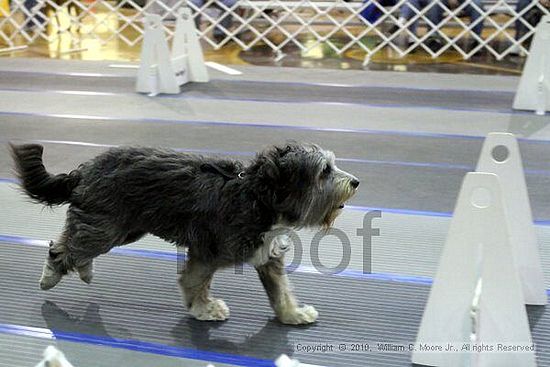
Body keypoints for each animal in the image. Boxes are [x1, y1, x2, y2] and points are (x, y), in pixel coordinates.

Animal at [11, 142, 362, 326]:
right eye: (324, 171)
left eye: (332, 166)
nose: (356, 182)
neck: (256, 195)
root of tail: (84, 170)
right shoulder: (207, 253)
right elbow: (193, 283)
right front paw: (204, 309)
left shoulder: (267, 255)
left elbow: (282, 291)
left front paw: (293, 314)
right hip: (107, 227)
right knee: (62, 248)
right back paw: (50, 275)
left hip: (122, 228)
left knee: (75, 244)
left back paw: (83, 269)